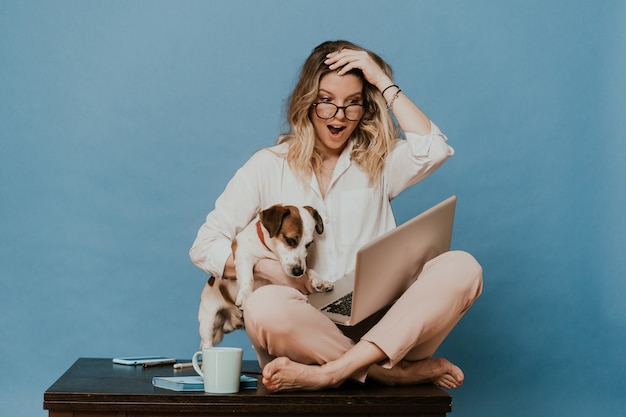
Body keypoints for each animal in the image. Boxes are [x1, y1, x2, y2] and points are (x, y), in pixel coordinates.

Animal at [197, 203, 334, 346]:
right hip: (208, 321)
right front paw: (245, 294)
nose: (298, 272)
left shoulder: (299, 264)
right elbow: (248, 277)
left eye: (308, 244)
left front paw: (319, 280)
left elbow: (309, 270)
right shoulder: (242, 252)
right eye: (290, 240)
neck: (270, 252)